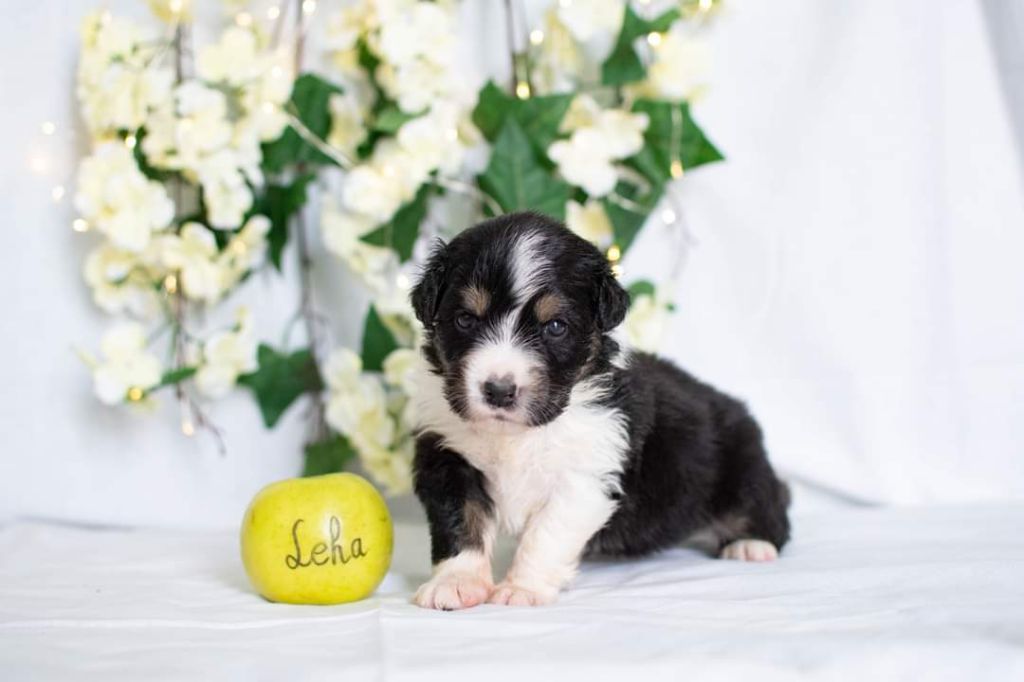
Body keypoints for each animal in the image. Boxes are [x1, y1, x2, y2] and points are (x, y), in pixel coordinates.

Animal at [409, 212, 790, 609]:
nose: (498, 390)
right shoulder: (446, 455)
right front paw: (455, 584)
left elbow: (545, 535)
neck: (517, 435)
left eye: (555, 326)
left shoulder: (585, 474)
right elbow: (458, 523)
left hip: (742, 471)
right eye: (465, 319)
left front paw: (521, 589)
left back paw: (750, 544)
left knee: (769, 508)